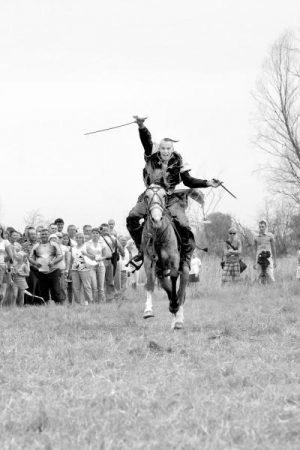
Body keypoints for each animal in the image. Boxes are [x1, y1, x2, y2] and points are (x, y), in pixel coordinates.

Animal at [141, 184, 189, 330]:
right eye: (146, 196)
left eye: (164, 195)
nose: (156, 219)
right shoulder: (149, 260)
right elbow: (150, 283)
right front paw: (148, 310)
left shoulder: (174, 259)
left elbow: (174, 279)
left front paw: (174, 306)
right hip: (160, 272)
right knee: (168, 288)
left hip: (184, 269)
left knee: (181, 292)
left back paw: (179, 321)